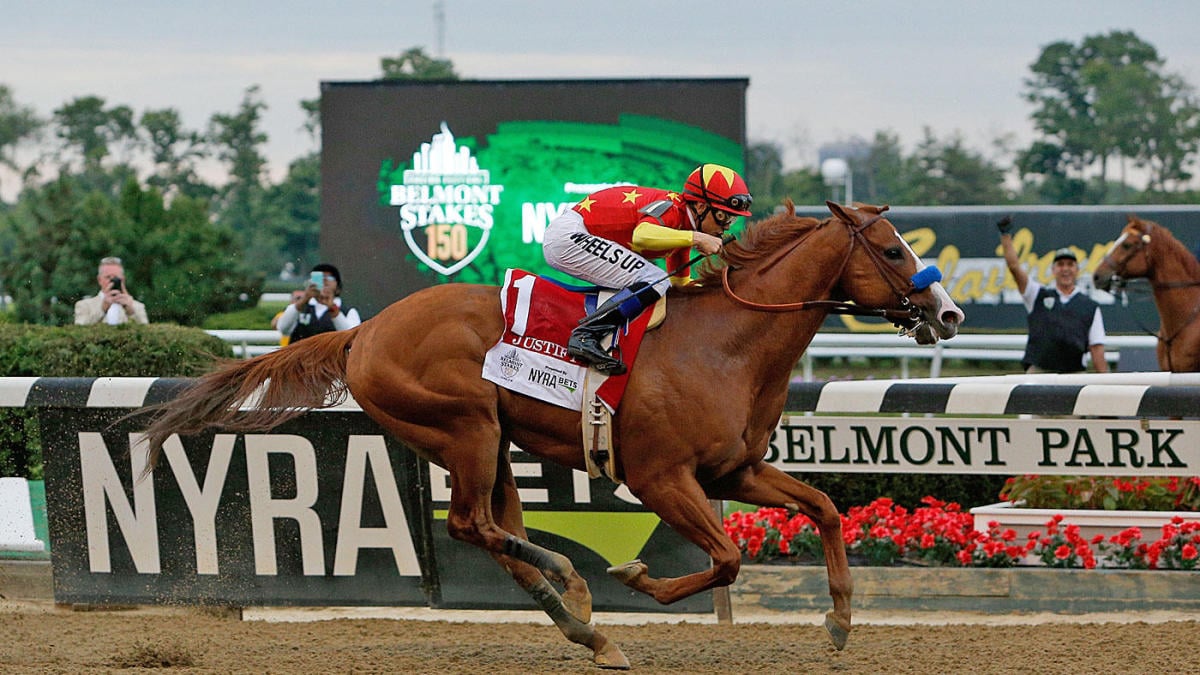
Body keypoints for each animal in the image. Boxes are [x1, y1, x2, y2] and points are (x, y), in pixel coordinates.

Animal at [140, 198, 964, 662]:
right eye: (893, 249)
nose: (949, 313)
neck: (724, 343)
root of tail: (362, 330)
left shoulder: (734, 470)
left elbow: (823, 509)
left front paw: (841, 619)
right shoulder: (660, 477)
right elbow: (728, 557)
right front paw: (636, 576)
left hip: (489, 442)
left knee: (493, 531)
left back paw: (583, 627)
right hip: (465, 427)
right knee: (471, 525)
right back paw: (576, 586)